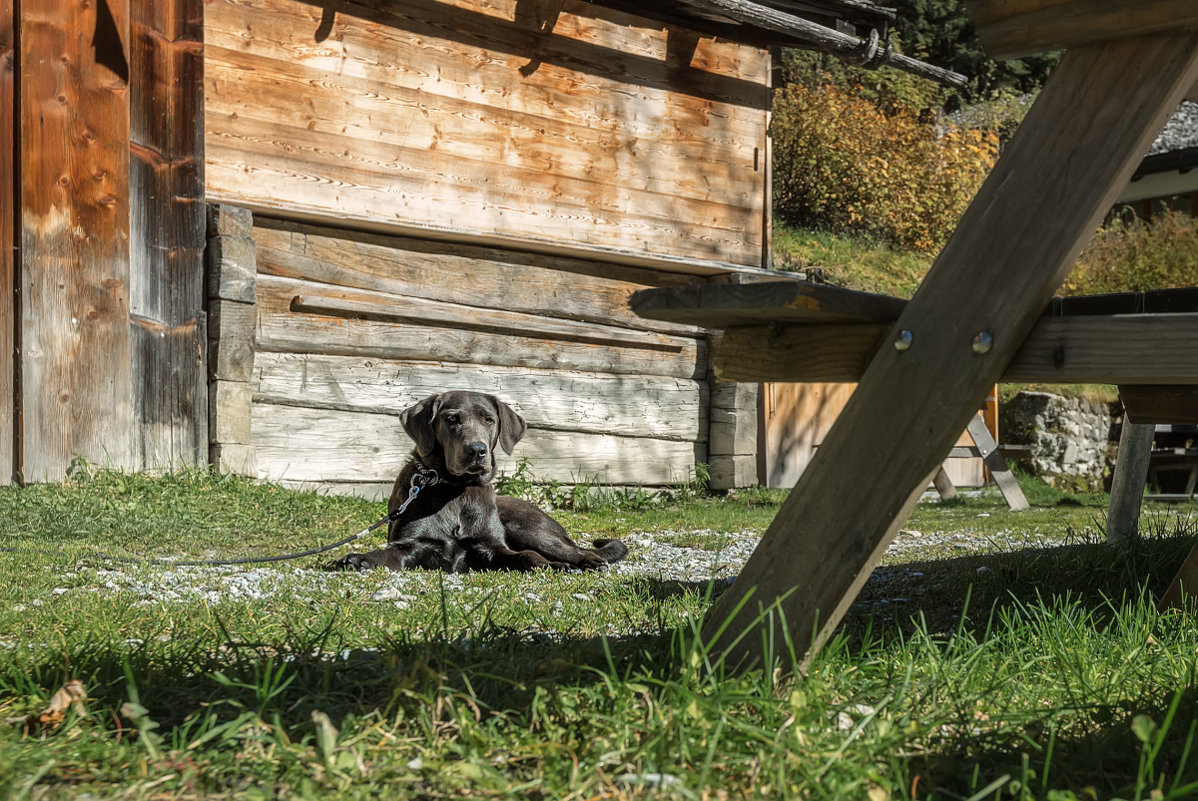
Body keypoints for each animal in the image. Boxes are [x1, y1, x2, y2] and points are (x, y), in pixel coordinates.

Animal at [328, 390, 627, 572]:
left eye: (489, 419)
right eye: (452, 419)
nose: (477, 450)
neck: (455, 490)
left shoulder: (492, 548)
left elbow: (528, 556)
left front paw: (553, 566)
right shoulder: (413, 544)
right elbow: (387, 553)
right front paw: (359, 559)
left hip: (530, 530)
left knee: (572, 551)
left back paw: (587, 561)